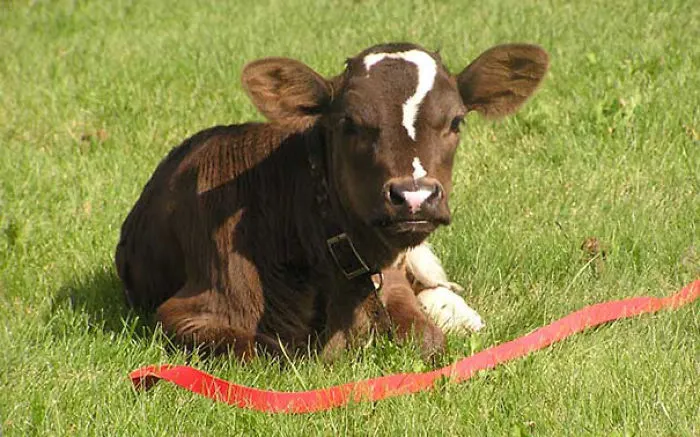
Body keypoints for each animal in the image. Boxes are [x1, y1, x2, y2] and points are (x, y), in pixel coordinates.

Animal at [115, 42, 549, 361]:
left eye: (456, 121)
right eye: (349, 123)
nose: (414, 197)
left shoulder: (390, 280)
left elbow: (426, 339)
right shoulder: (188, 311)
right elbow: (268, 350)